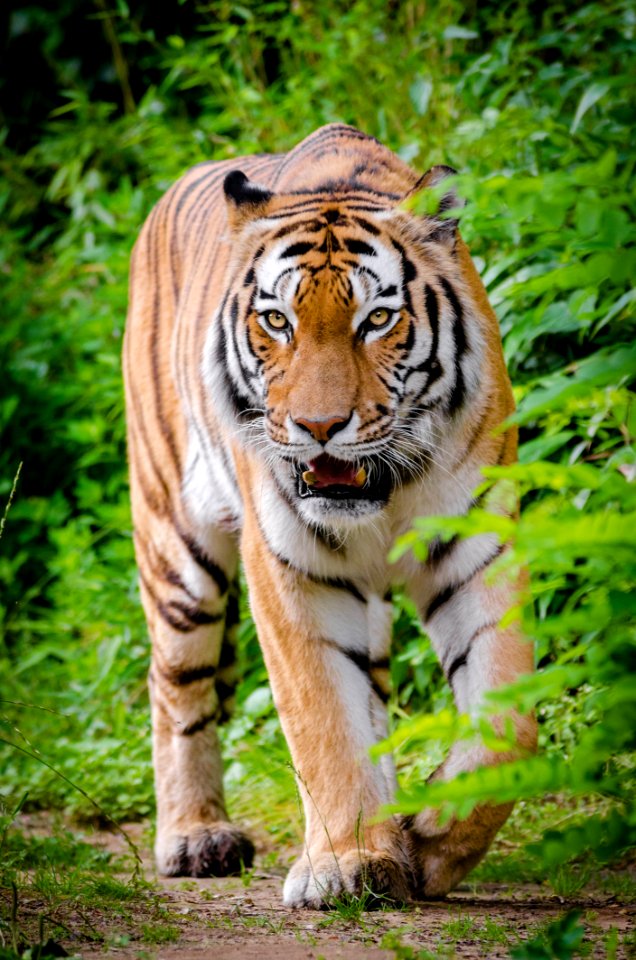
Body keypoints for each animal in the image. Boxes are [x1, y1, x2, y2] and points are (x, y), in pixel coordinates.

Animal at [123, 122, 536, 908]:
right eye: (276, 321)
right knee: (177, 687)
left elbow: (507, 721)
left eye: (376, 319)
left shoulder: (477, 548)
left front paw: (428, 842)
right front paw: (347, 863)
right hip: (177, 547)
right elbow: (323, 719)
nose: (318, 427)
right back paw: (196, 837)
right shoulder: (292, 567)